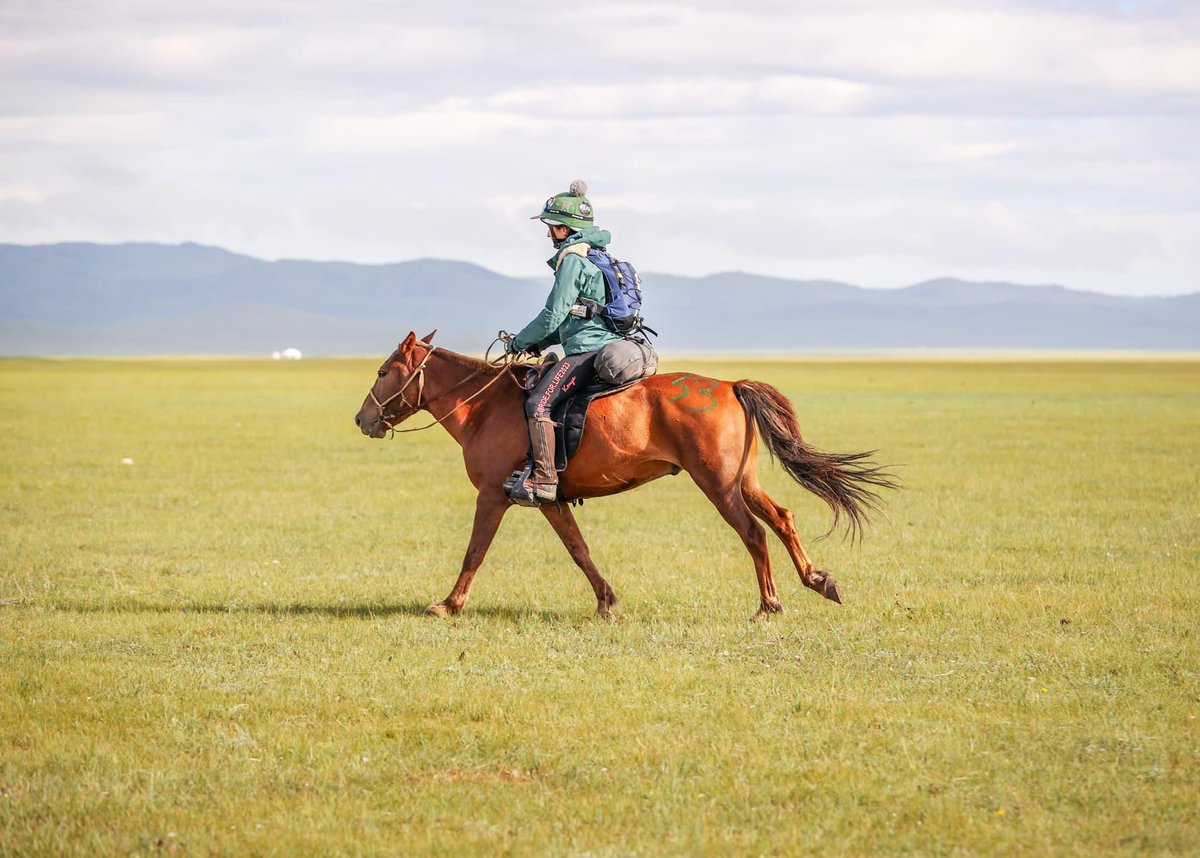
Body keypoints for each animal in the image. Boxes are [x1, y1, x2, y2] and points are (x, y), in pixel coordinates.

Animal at [350, 331, 897, 619]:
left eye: (382, 372)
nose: (362, 419)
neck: (485, 407)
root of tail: (729, 384)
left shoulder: (492, 497)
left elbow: (474, 552)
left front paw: (448, 605)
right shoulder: (550, 500)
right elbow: (579, 550)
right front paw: (606, 602)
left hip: (718, 485)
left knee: (754, 533)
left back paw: (769, 604)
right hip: (744, 481)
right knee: (782, 519)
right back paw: (818, 581)